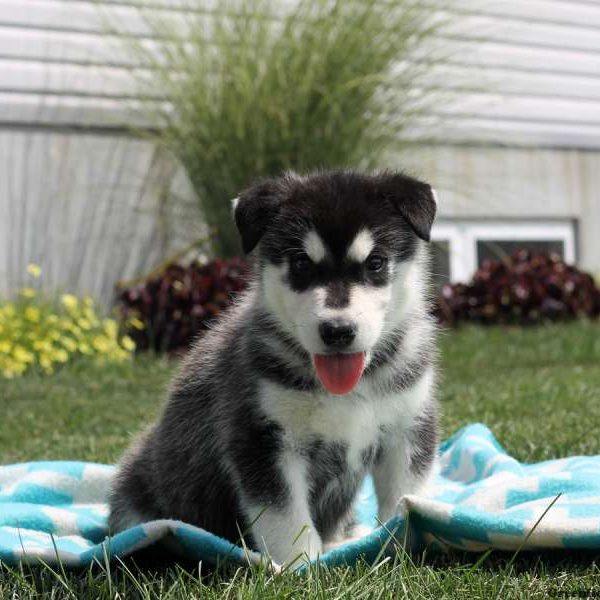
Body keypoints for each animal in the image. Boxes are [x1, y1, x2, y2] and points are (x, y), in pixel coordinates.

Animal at [109, 170, 436, 568]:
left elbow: (404, 499)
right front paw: (302, 567)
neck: (348, 390)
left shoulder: (407, 428)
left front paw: (397, 543)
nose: (337, 330)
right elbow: (286, 518)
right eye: (301, 263)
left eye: (375, 262)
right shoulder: (262, 439)